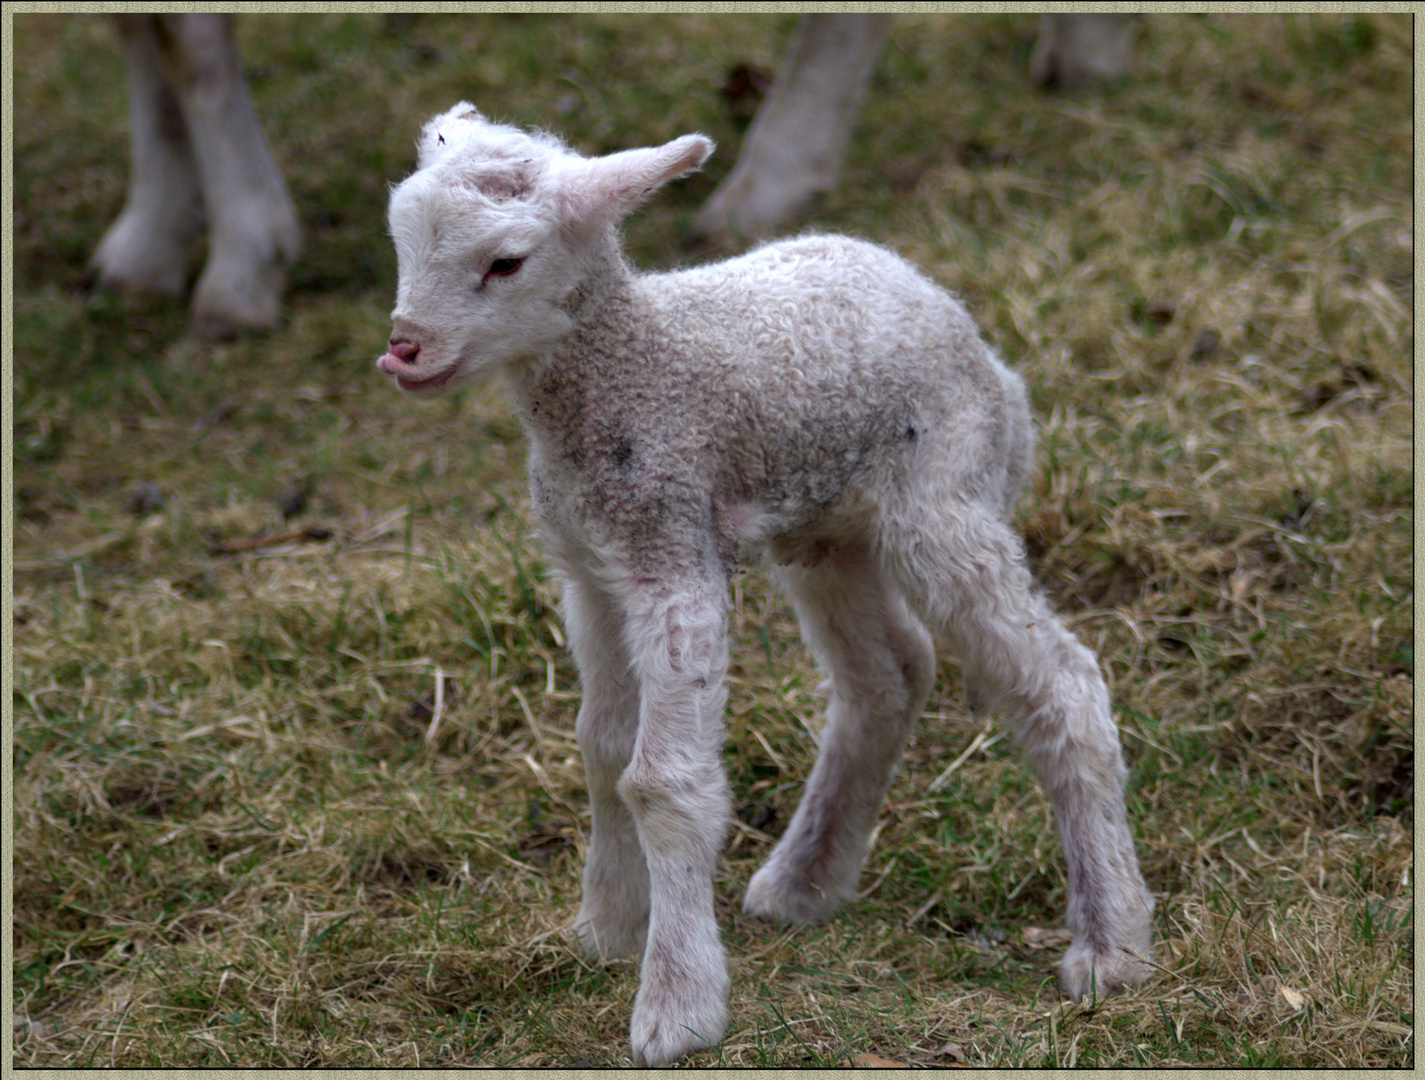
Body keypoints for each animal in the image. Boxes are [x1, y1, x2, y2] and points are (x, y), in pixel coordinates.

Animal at [376, 105, 1157, 1071]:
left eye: (506, 262)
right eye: (402, 240)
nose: (405, 351)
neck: (628, 367)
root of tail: (977, 342)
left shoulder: (672, 558)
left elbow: (661, 782)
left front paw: (675, 1004)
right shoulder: (590, 572)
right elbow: (600, 751)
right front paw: (605, 928)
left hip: (942, 497)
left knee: (1062, 682)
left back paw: (1110, 942)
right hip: (826, 532)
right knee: (888, 674)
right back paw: (804, 879)